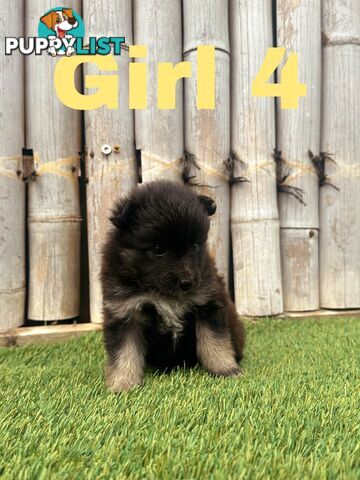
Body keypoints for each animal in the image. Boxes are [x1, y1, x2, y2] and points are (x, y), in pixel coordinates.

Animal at [102, 180, 246, 394]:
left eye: (194, 245)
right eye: (158, 249)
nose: (187, 283)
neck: (163, 293)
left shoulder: (206, 304)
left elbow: (215, 342)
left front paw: (225, 369)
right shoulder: (125, 312)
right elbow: (124, 352)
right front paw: (123, 384)